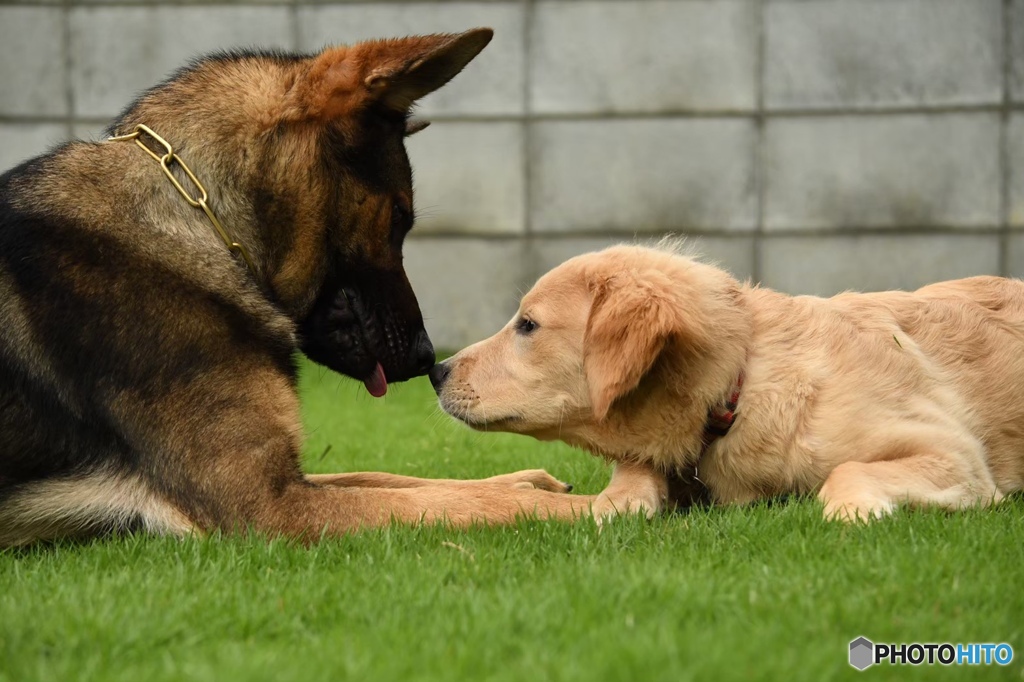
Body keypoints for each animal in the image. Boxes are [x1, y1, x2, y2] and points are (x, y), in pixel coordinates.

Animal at [0, 29, 593, 544]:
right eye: (399, 218)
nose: (429, 359)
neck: (194, 216)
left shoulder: (291, 481)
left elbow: (396, 480)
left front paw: (526, 480)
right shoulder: (267, 504)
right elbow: (444, 500)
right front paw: (589, 505)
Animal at [428, 242, 1024, 520]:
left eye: (527, 325)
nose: (435, 370)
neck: (740, 383)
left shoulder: (954, 454)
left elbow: (849, 470)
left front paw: (854, 510)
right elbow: (628, 485)